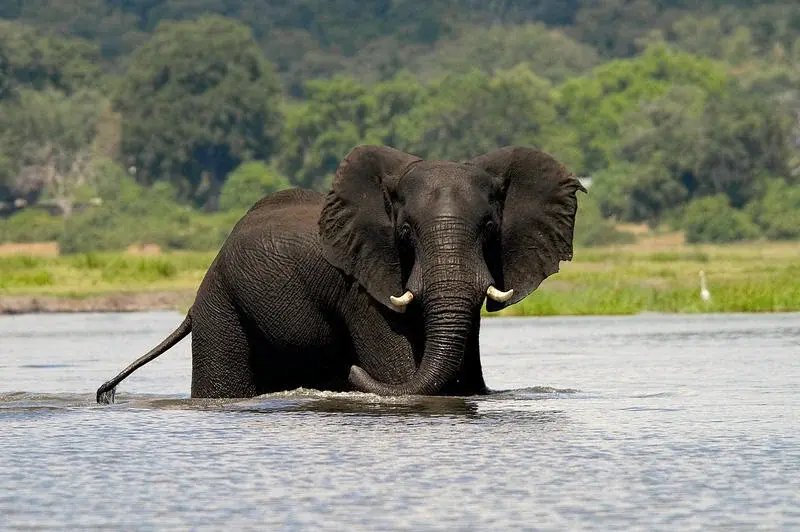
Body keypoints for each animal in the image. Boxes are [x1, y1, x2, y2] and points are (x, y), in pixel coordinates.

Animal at [95, 145, 585, 403]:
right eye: (404, 232)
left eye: (489, 228)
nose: (347, 370)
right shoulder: (361, 289)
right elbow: (398, 368)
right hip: (222, 303)